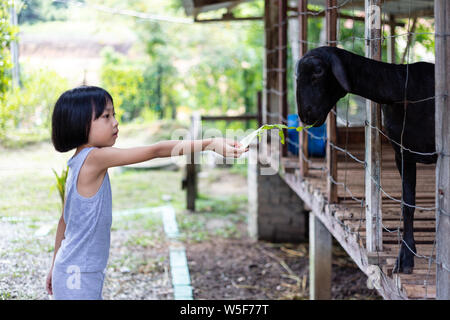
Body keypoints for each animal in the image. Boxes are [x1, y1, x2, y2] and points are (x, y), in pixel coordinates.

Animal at [296, 46, 436, 274]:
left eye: (318, 71)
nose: (305, 115)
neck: (402, 88)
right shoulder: (402, 154)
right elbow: (407, 205)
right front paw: (405, 258)